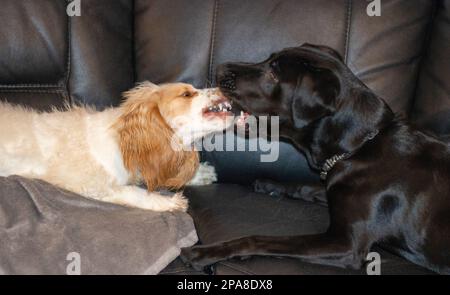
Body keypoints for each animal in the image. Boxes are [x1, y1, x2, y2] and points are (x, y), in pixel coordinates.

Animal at [0, 83, 232, 212]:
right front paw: (167, 202)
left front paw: (201, 174)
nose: (225, 86)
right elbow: (134, 192)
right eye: (186, 94)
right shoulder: (94, 186)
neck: (122, 142)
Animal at [181, 44, 450, 276]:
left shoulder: (345, 245)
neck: (359, 146)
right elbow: (305, 187)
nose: (218, 68)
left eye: (273, 73)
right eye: (268, 59)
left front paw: (206, 252)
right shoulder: (333, 188)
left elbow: (259, 239)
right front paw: (270, 185)